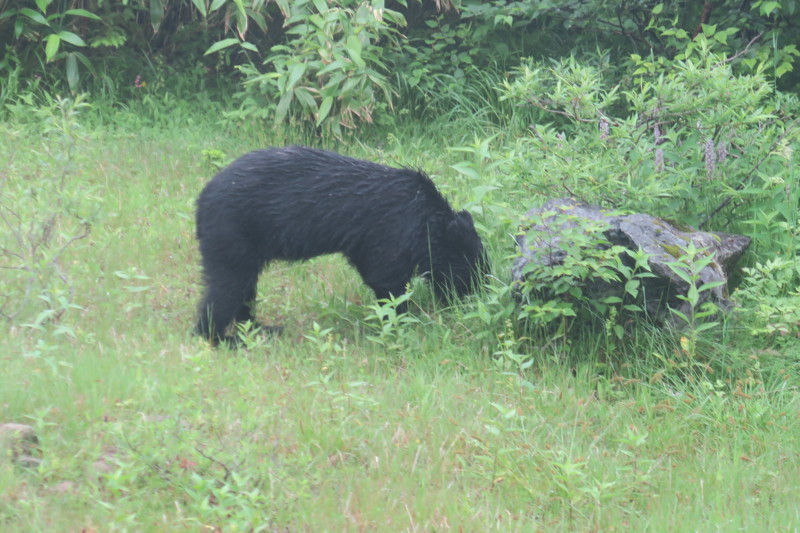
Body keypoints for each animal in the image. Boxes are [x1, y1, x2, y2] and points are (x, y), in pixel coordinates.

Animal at [195, 145, 488, 344]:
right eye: (472, 271)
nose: (473, 299)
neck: (427, 217)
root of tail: (201, 200)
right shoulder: (392, 228)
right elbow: (386, 278)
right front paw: (401, 321)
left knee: (245, 287)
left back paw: (260, 327)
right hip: (231, 233)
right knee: (227, 287)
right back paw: (221, 337)